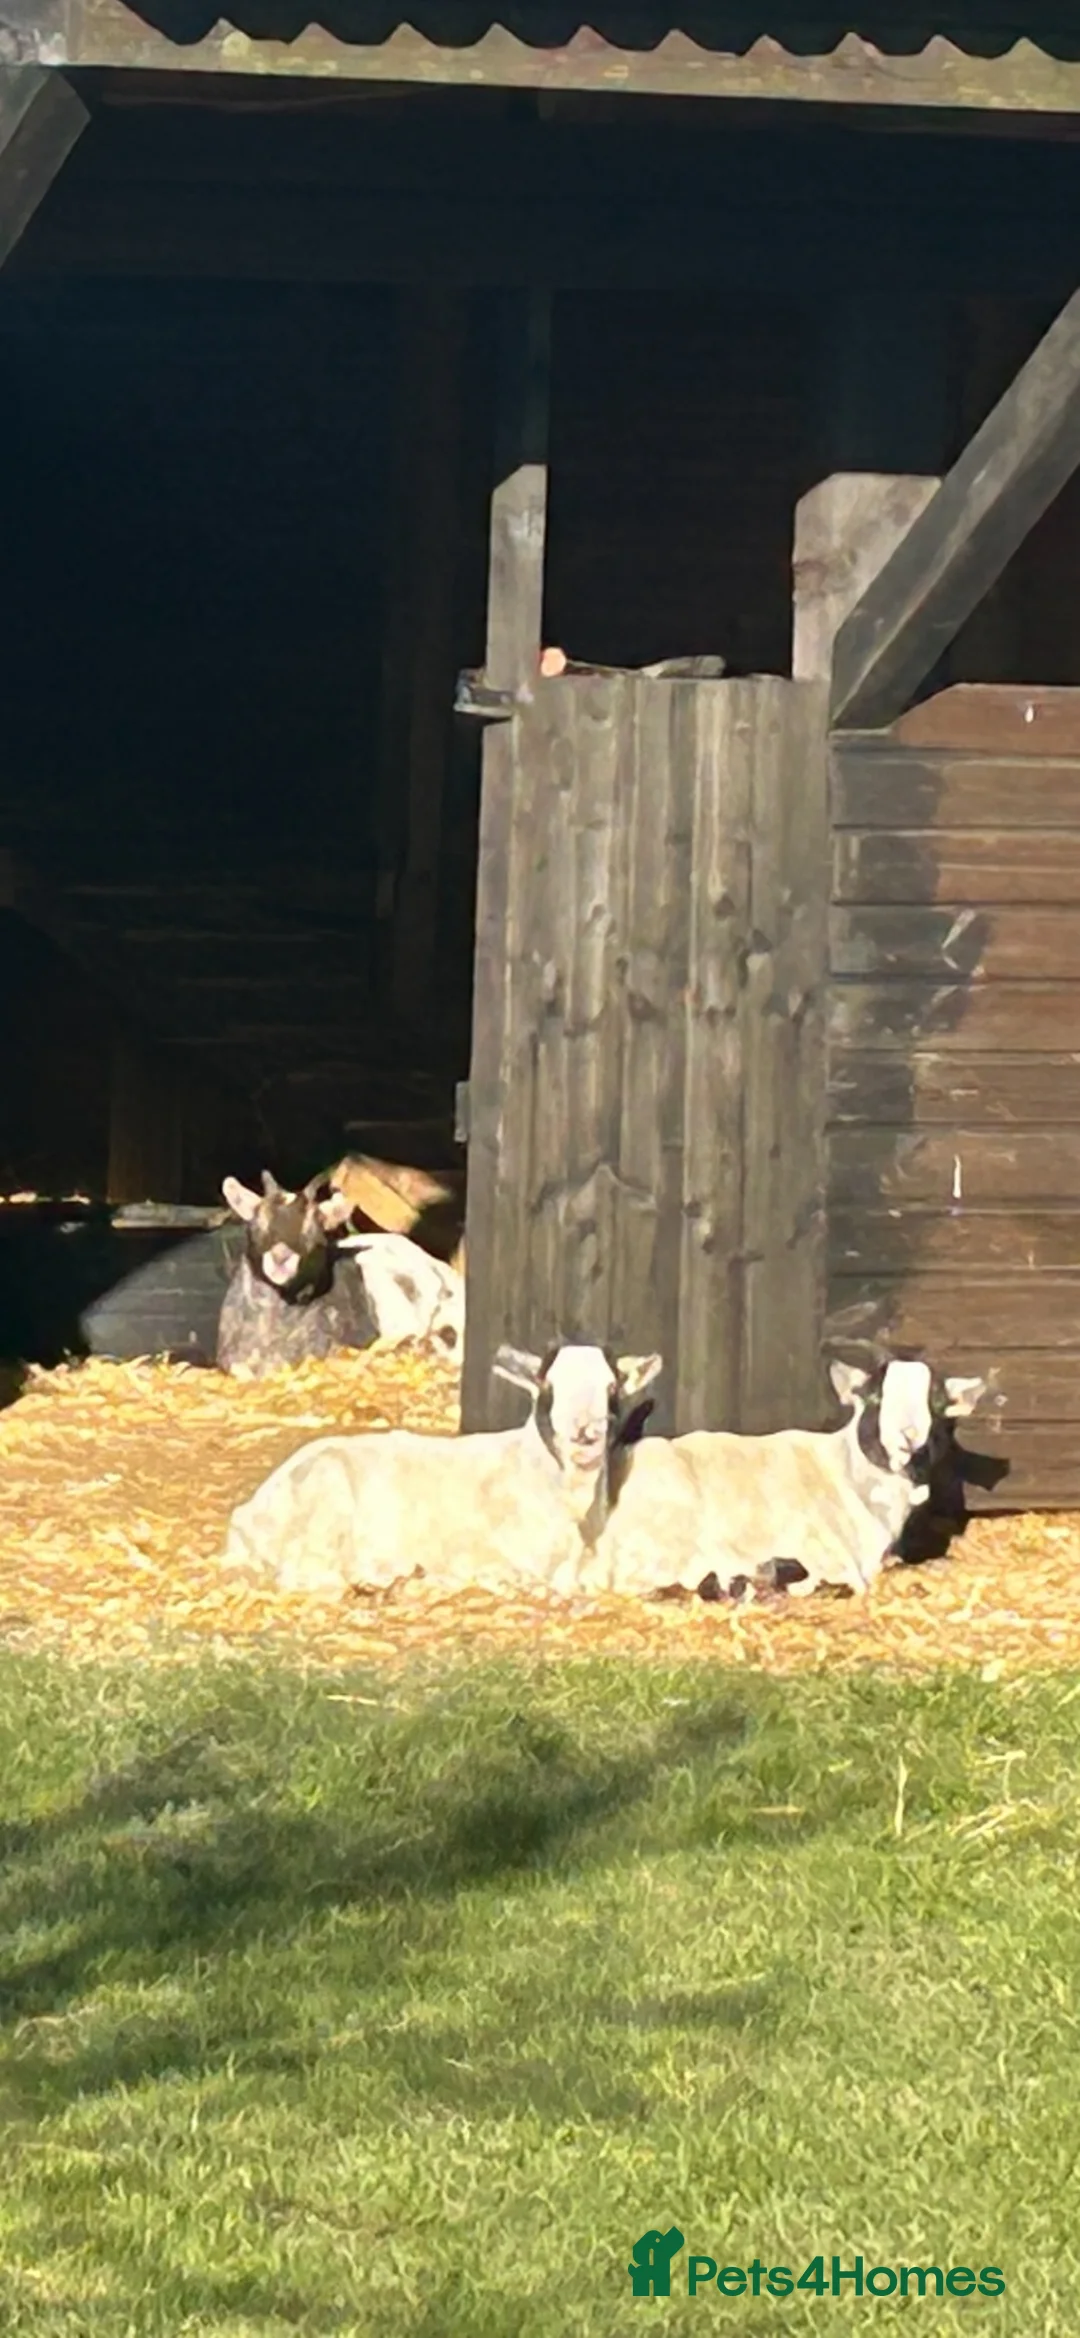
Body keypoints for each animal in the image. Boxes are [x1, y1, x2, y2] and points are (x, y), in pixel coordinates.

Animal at [219, 1339, 663, 1596]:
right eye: (547, 1387)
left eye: (612, 1387)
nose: (585, 1433)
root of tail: (246, 1514)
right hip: (324, 1501)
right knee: (305, 1574)